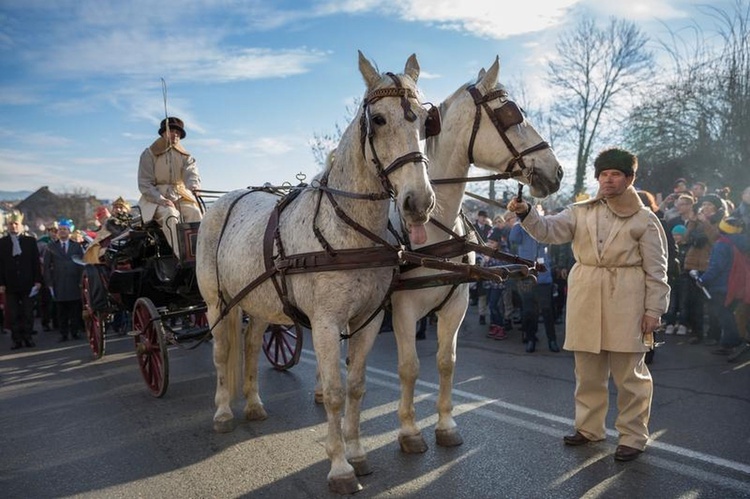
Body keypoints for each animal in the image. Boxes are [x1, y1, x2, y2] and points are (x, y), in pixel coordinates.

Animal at [197, 51, 438, 496]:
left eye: (426, 121)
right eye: (379, 119)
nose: (418, 203)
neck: (350, 230)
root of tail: (226, 198)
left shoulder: (368, 319)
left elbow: (357, 386)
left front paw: (357, 454)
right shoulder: (326, 323)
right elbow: (335, 392)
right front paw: (340, 467)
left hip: (259, 303)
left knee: (252, 347)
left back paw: (253, 404)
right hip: (217, 303)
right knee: (222, 353)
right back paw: (223, 412)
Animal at [390, 57, 560, 454]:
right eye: (512, 113)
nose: (557, 170)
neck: (433, 227)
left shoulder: (457, 304)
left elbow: (446, 362)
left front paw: (446, 425)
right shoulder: (403, 309)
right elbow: (409, 367)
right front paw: (409, 431)